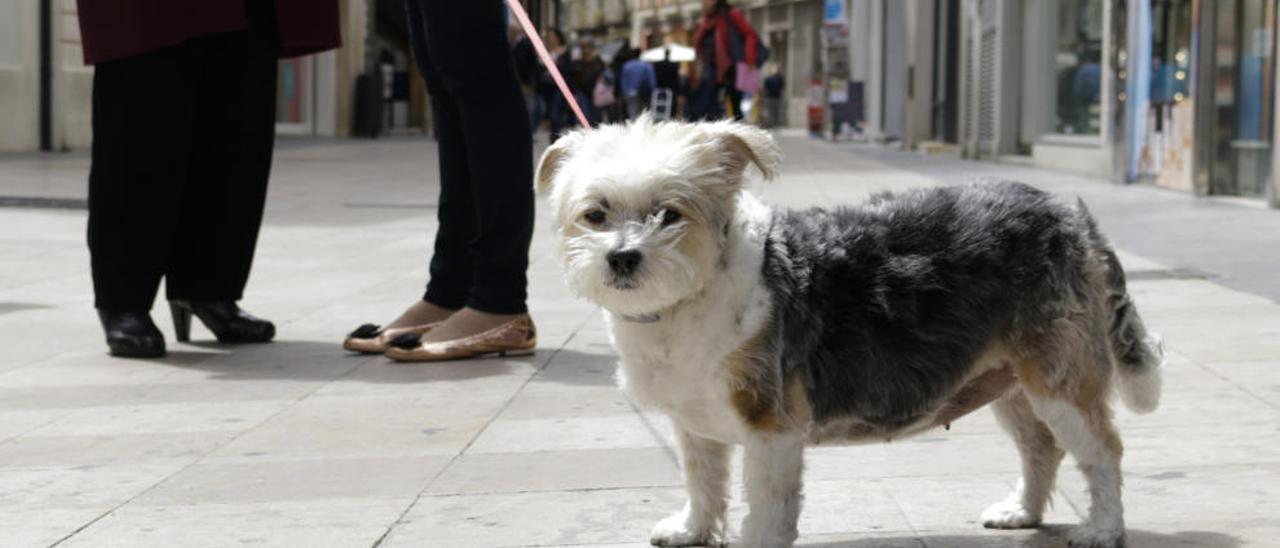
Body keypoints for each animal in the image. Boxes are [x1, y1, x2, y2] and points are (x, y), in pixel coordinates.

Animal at [535, 116, 1167, 548]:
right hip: (1007, 378)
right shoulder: (695, 422)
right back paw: (1023, 512)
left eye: (670, 213)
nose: (623, 258)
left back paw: (1104, 528)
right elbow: (702, 480)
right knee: (1041, 447)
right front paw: (692, 528)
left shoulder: (770, 427)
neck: (691, 295)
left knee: (1102, 452)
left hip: (1058, 377)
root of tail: (1068, 214)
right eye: (595, 214)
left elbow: (766, 504)